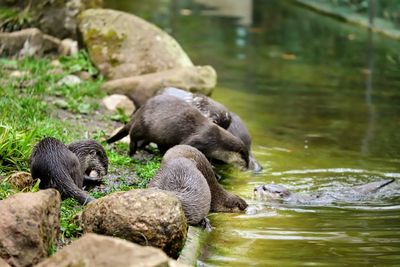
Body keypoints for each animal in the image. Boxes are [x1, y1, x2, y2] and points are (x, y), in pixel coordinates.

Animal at [108, 94, 248, 170]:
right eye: (245, 159)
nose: (247, 168)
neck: (218, 142)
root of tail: (140, 110)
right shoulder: (202, 139)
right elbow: (186, 146)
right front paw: (211, 166)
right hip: (142, 125)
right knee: (133, 135)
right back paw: (132, 152)